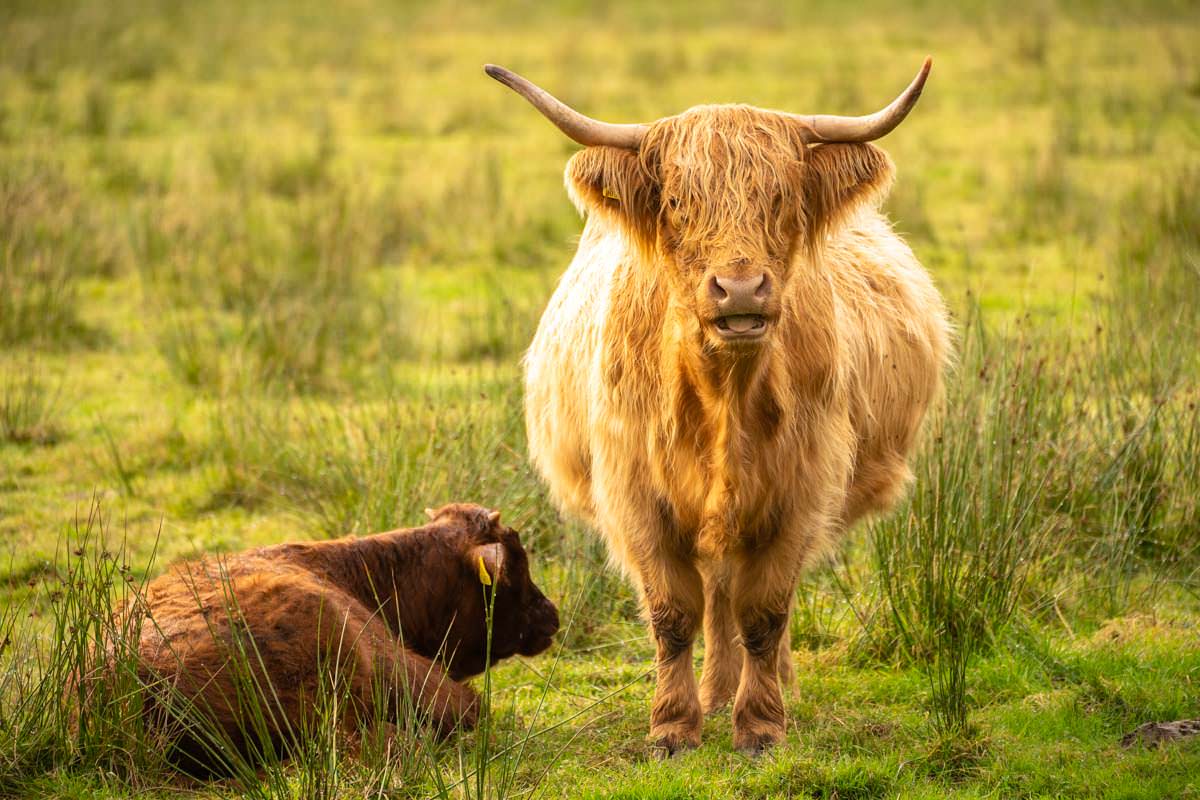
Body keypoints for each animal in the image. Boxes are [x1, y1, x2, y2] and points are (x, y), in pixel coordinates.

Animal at [484, 59, 945, 753]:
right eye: (677, 203)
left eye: (780, 199)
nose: (741, 289)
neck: (724, 394)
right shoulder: (636, 494)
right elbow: (674, 614)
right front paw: (674, 726)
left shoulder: (801, 491)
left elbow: (766, 612)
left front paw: (761, 724)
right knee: (717, 595)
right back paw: (716, 692)